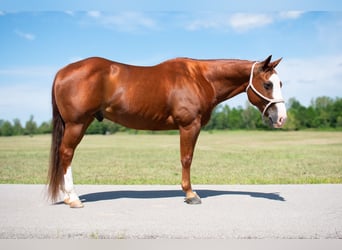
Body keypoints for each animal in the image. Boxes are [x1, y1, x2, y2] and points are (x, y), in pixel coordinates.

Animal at [47, 55, 286, 208]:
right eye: (267, 85)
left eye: (280, 83)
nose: (281, 118)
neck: (201, 78)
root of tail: (62, 72)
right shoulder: (189, 126)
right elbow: (186, 158)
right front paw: (190, 194)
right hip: (77, 123)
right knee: (66, 154)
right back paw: (73, 198)